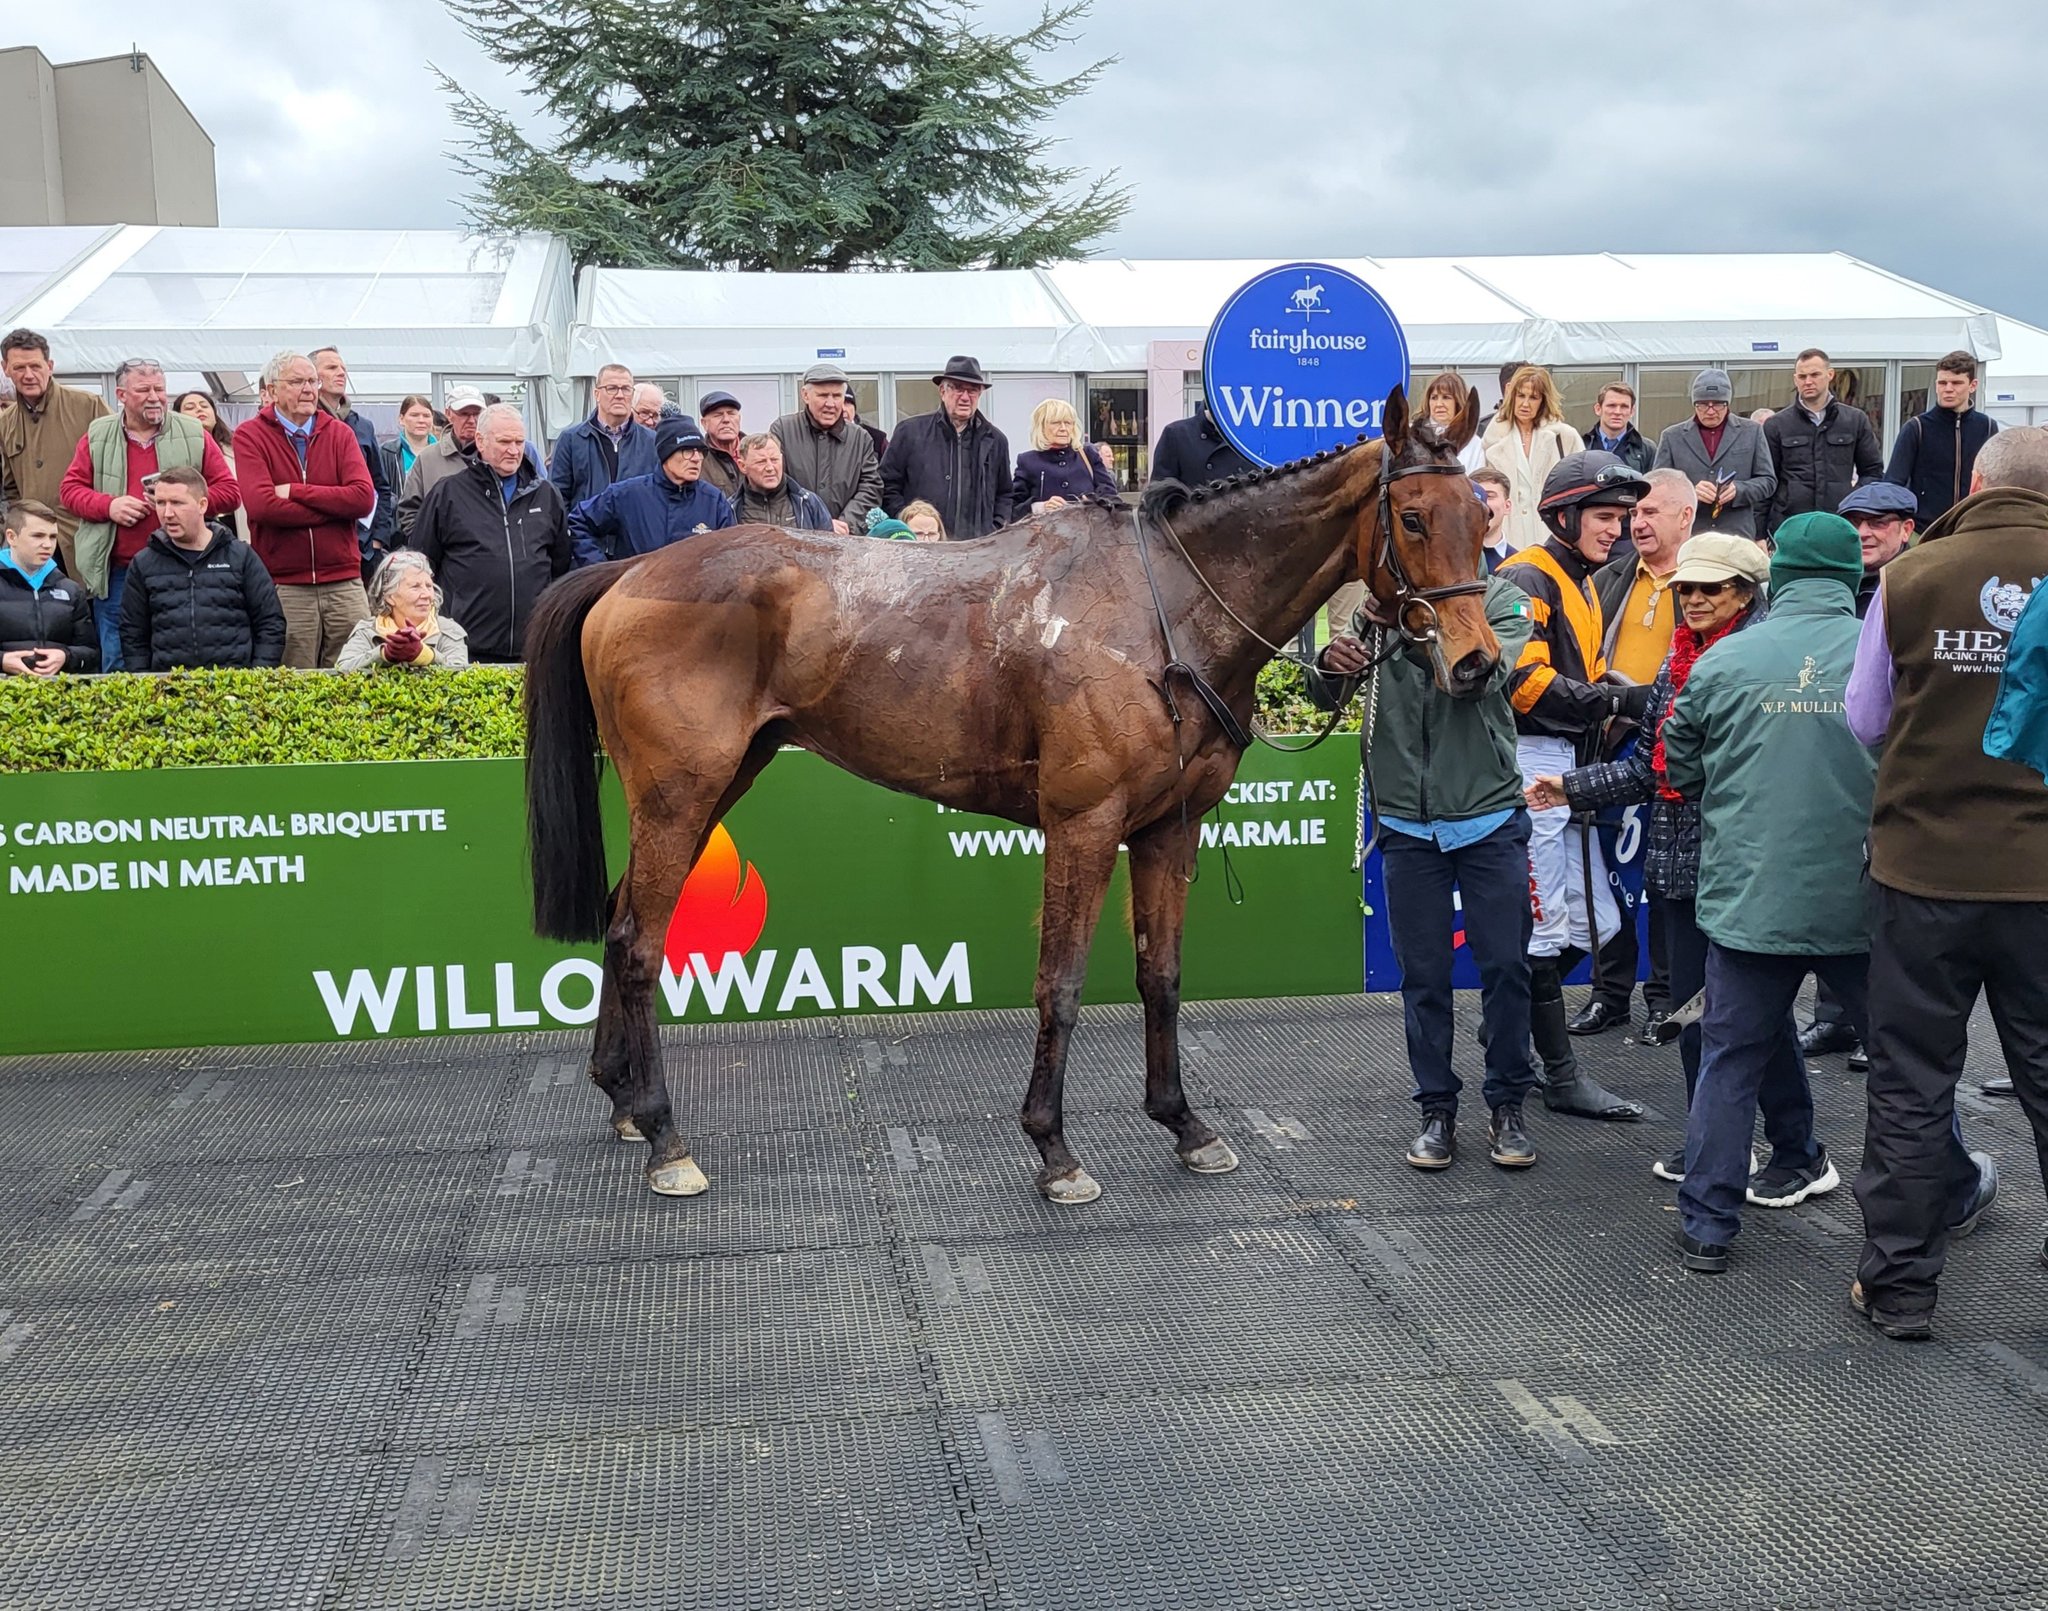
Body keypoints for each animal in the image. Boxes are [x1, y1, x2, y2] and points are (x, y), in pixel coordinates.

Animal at [524, 384, 1490, 1203]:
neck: (1162, 607)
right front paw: (1054, 1147)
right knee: (640, 942)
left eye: (1482, 515)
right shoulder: (1085, 823)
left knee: (619, 919)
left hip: (713, 785)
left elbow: (1163, 973)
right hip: (681, 793)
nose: (1476, 661)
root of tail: (629, 574)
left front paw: (1183, 1122)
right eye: (1411, 516)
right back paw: (666, 1136)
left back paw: (620, 1097)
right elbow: (1060, 980)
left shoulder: (1168, 829)